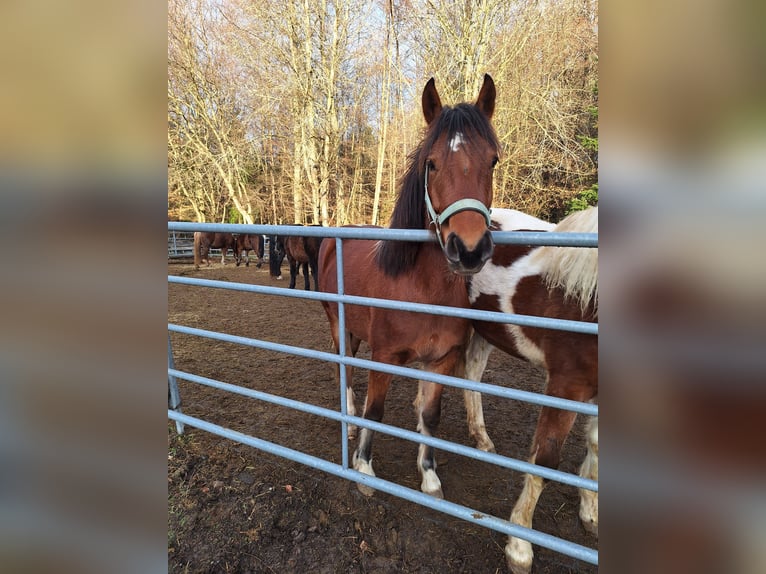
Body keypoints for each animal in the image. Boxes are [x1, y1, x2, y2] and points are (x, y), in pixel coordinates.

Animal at [318, 74, 499, 499]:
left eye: (493, 161)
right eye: (431, 163)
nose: (469, 249)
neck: (423, 291)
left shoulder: (441, 361)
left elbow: (430, 415)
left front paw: (429, 475)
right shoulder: (384, 356)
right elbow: (376, 411)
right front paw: (364, 470)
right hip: (339, 326)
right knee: (344, 371)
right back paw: (349, 425)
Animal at [462, 206, 598, 574]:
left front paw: (590, 511)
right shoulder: (566, 386)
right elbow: (544, 462)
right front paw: (520, 545)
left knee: (471, 375)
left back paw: (482, 439)